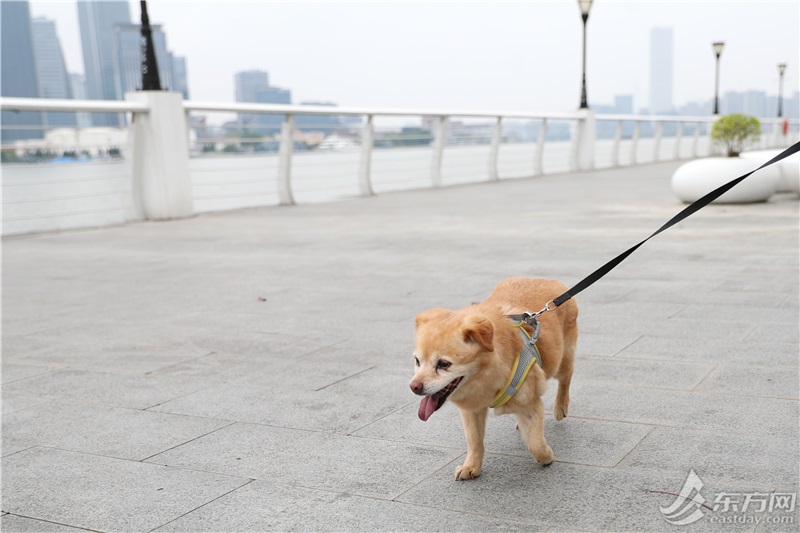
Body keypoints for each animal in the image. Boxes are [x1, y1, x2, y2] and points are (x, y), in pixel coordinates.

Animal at [412, 276, 576, 480]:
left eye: (443, 364)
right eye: (417, 361)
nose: (414, 386)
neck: (484, 378)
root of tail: (546, 279)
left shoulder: (532, 403)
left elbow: (535, 444)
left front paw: (546, 457)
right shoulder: (471, 411)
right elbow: (474, 442)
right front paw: (471, 466)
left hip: (561, 360)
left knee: (566, 377)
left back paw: (560, 407)